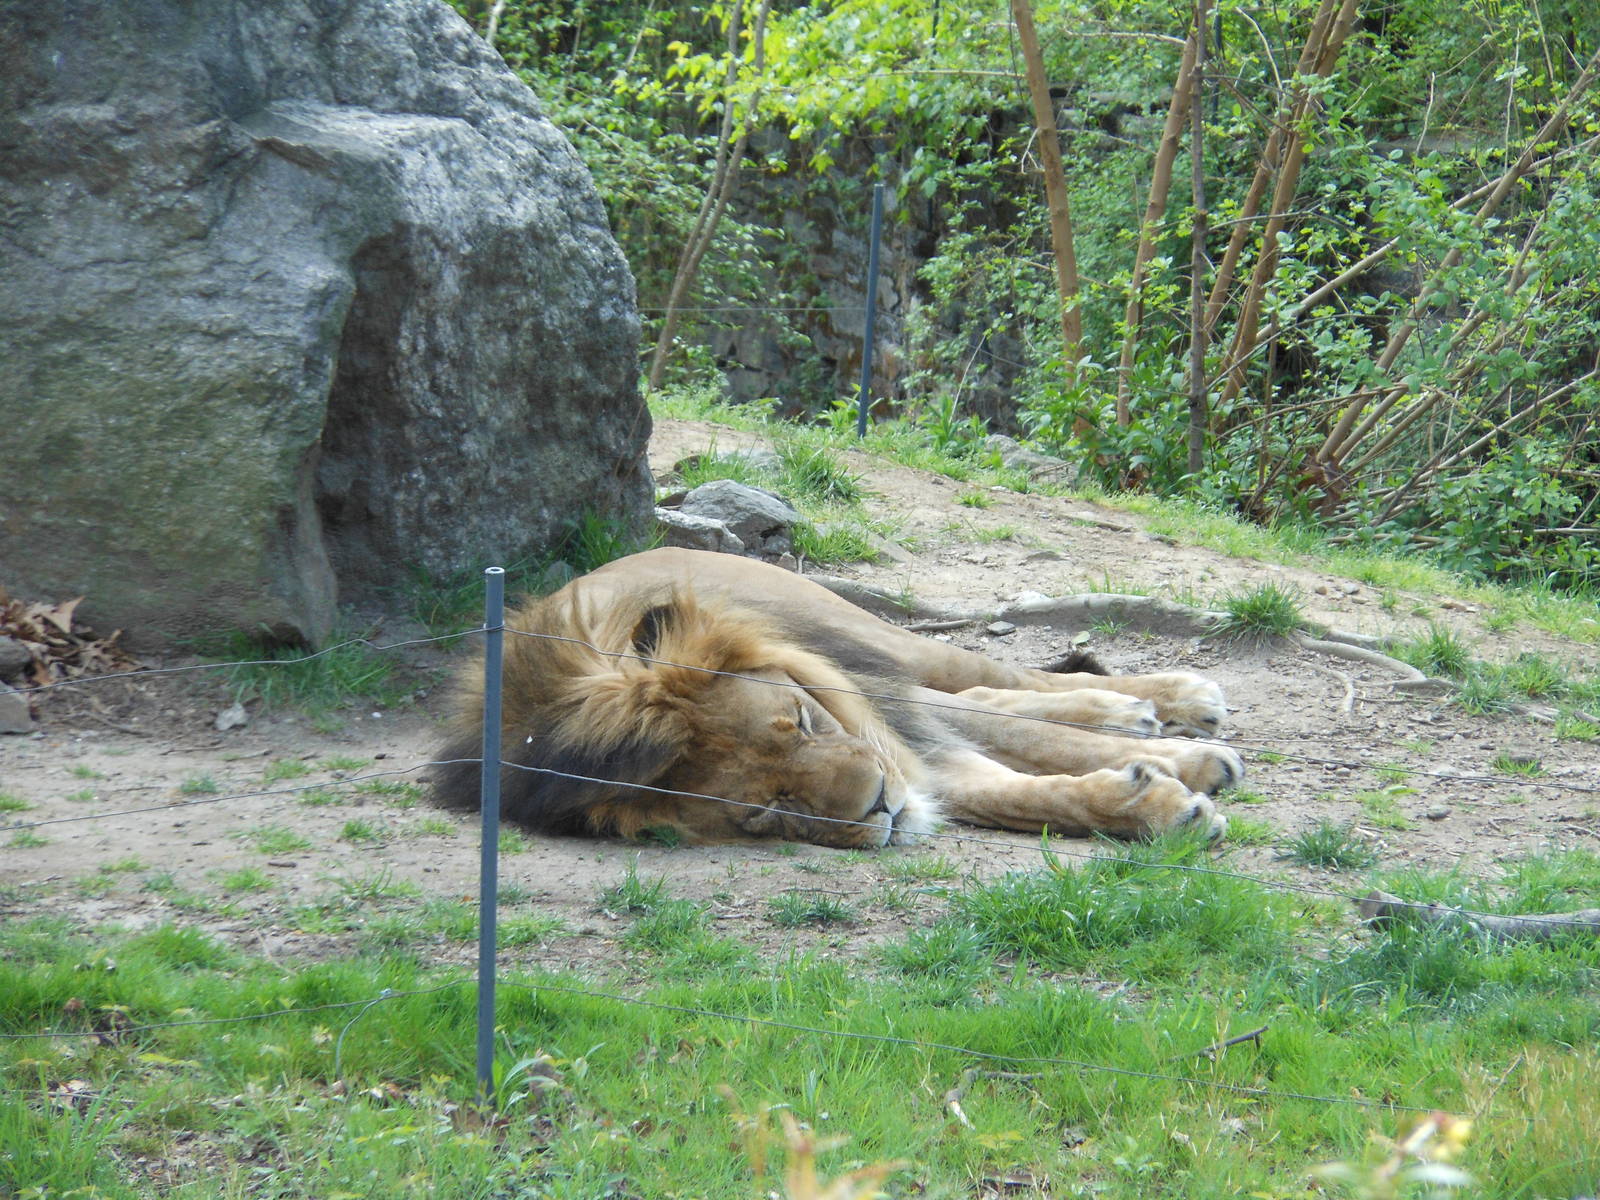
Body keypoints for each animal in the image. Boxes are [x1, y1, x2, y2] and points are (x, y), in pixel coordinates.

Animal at [432, 547, 1243, 849]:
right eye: (766, 808)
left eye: (801, 722)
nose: (877, 805)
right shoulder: (908, 755)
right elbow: (1018, 790)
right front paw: (1153, 804)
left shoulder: (880, 710)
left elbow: (1041, 740)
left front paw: (1195, 766)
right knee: (993, 692)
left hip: (865, 633)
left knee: (1000, 678)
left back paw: (1173, 700)